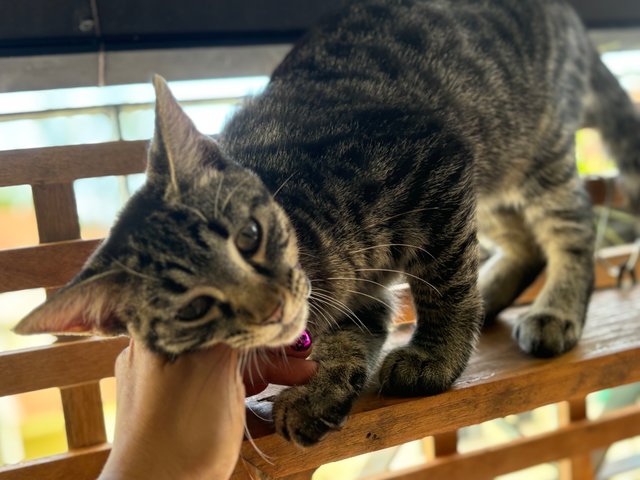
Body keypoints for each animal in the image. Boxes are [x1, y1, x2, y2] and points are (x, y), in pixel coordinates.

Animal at [15, 0, 640, 446]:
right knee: (523, 242)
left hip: (527, 152)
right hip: (493, 176)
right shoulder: (377, 277)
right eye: (194, 309)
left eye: (250, 235)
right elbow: (357, 329)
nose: (271, 304)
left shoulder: (435, 162)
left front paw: (433, 356)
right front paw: (320, 388)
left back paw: (555, 309)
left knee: (574, 227)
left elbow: (444, 285)